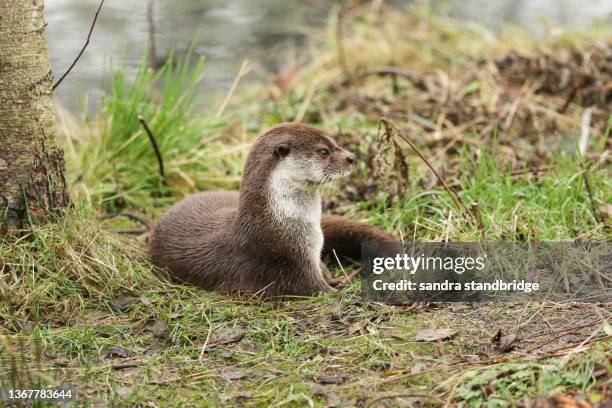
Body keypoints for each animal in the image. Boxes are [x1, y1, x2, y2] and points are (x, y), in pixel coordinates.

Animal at [149, 122, 396, 296]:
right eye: (323, 151)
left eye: (335, 143)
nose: (352, 158)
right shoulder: (287, 259)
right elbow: (314, 287)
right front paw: (338, 289)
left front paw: (332, 276)